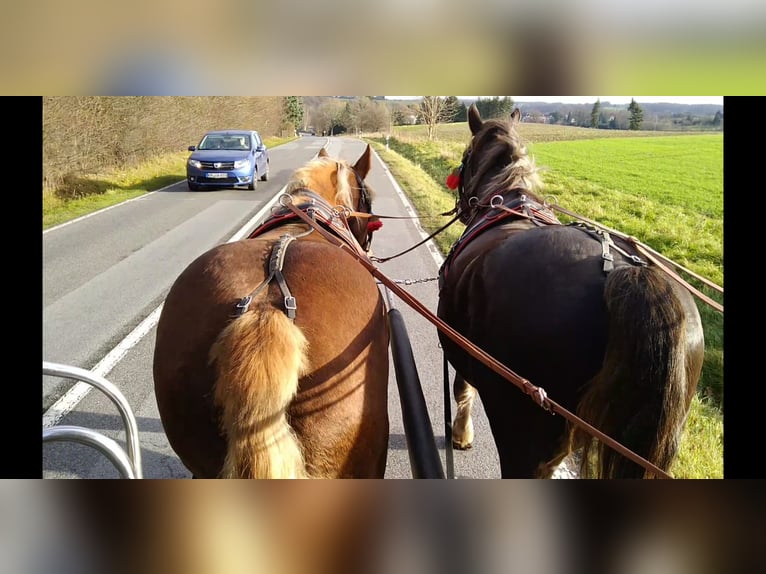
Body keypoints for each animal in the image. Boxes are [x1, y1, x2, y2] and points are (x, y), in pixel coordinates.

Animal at [438, 106, 708, 480]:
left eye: (465, 157)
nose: (462, 207)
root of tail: (629, 274)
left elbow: (463, 389)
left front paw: (461, 434)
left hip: (524, 428)